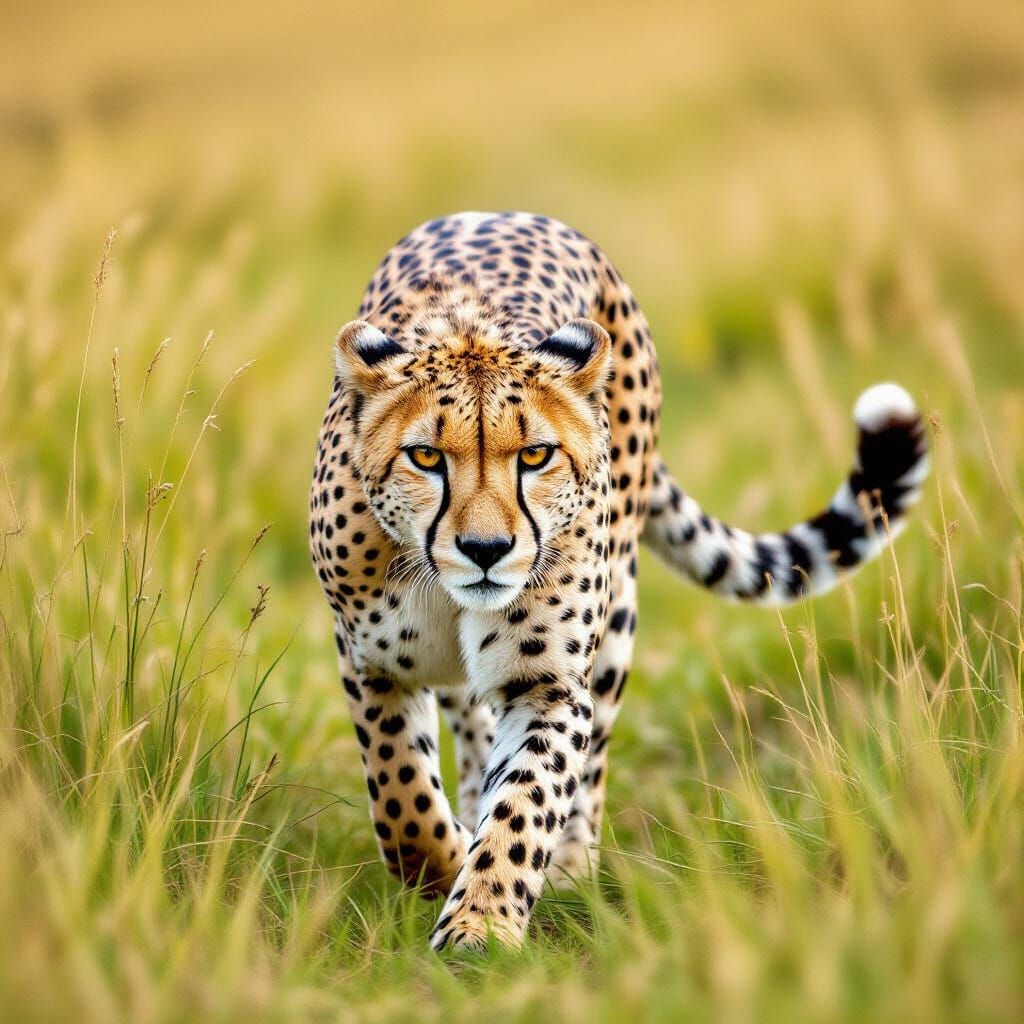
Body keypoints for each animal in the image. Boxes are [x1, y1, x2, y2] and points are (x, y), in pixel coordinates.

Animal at [309, 210, 929, 952]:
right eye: (426, 457)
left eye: (535, 455)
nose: (486, 550)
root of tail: (513, 212)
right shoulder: (370, 663)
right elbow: (402, 801)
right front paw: (449, 862)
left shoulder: (547, 684)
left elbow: (523, 807)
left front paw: (483, 920)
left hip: (615, 624)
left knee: (586, 758)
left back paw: (571, 867)